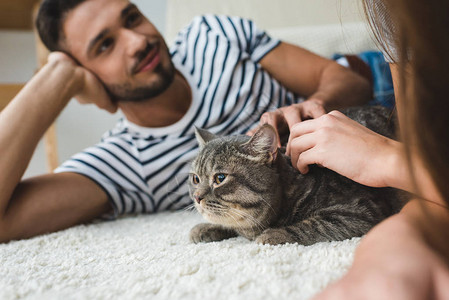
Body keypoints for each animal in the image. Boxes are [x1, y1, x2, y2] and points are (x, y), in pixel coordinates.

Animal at [187, 106, 404, 245]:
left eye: (220, 178)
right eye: (195, 179)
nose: (197, 197)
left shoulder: (359, 212)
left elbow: (313, 225)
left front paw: (274, 234)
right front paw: (206, 228)